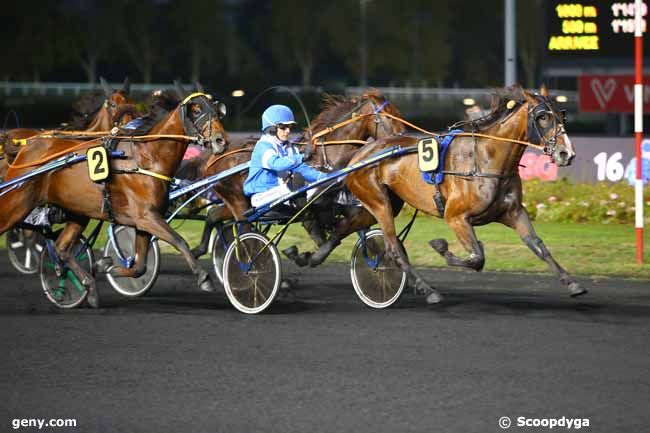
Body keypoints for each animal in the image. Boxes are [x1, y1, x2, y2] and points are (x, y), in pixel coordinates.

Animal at [0, 84, 228, 306]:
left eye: (218, 112)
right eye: (197, 111)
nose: (221, 141)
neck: (146, 158)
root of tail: (25, 148)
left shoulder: (143, 222)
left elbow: (140, 266)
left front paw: (106, 266)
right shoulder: (146, 217)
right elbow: (179, 241)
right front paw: (204, 277)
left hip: (78, 211)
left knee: (62, 247)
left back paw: (89, 286)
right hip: (16, 204)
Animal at [184, 88, 404, 258]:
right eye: (387, 117)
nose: (402, 136)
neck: (326, 157)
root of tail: (214, 158)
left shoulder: (339, 207)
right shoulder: (310, 211)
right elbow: (324, 236)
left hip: (240, 203)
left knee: (213, 215)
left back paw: (198, 250)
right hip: (239, 203)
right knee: (243, 229)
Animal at [340, 85, 584, 304]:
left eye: (562, 116)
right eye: (543, 117)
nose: (567, 153)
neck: (485, 159)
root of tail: (361, 153)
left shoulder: (514, 212)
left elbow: (537, 246)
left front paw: (573, 283)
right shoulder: (455, 216)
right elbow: (477, 258)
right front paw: (441, 247)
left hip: (388, 202)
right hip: (379, 202)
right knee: (393, 249)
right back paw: (428, 290)